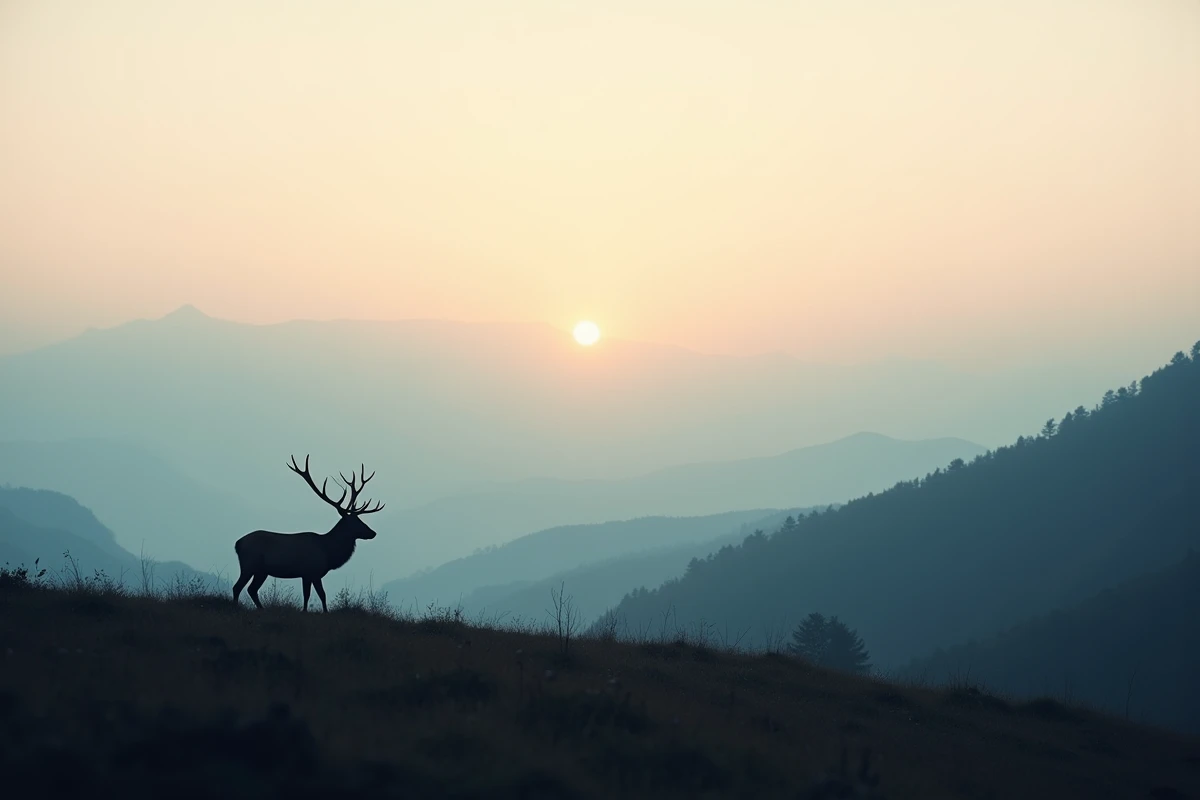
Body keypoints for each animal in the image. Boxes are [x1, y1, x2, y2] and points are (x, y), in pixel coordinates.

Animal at [232, 454, 384, 612]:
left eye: (360, 519)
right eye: (355, 522)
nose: (373, 532)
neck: (328, 551)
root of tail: (237, 543)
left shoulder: (308, 574)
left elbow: (310, 595)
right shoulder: (311, 571)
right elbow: (319, 594)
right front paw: (318, 612)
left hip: (261, 570)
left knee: (251, 589)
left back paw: (261, 609)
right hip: (249, 564)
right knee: (238, 587)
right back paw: (236, 607)